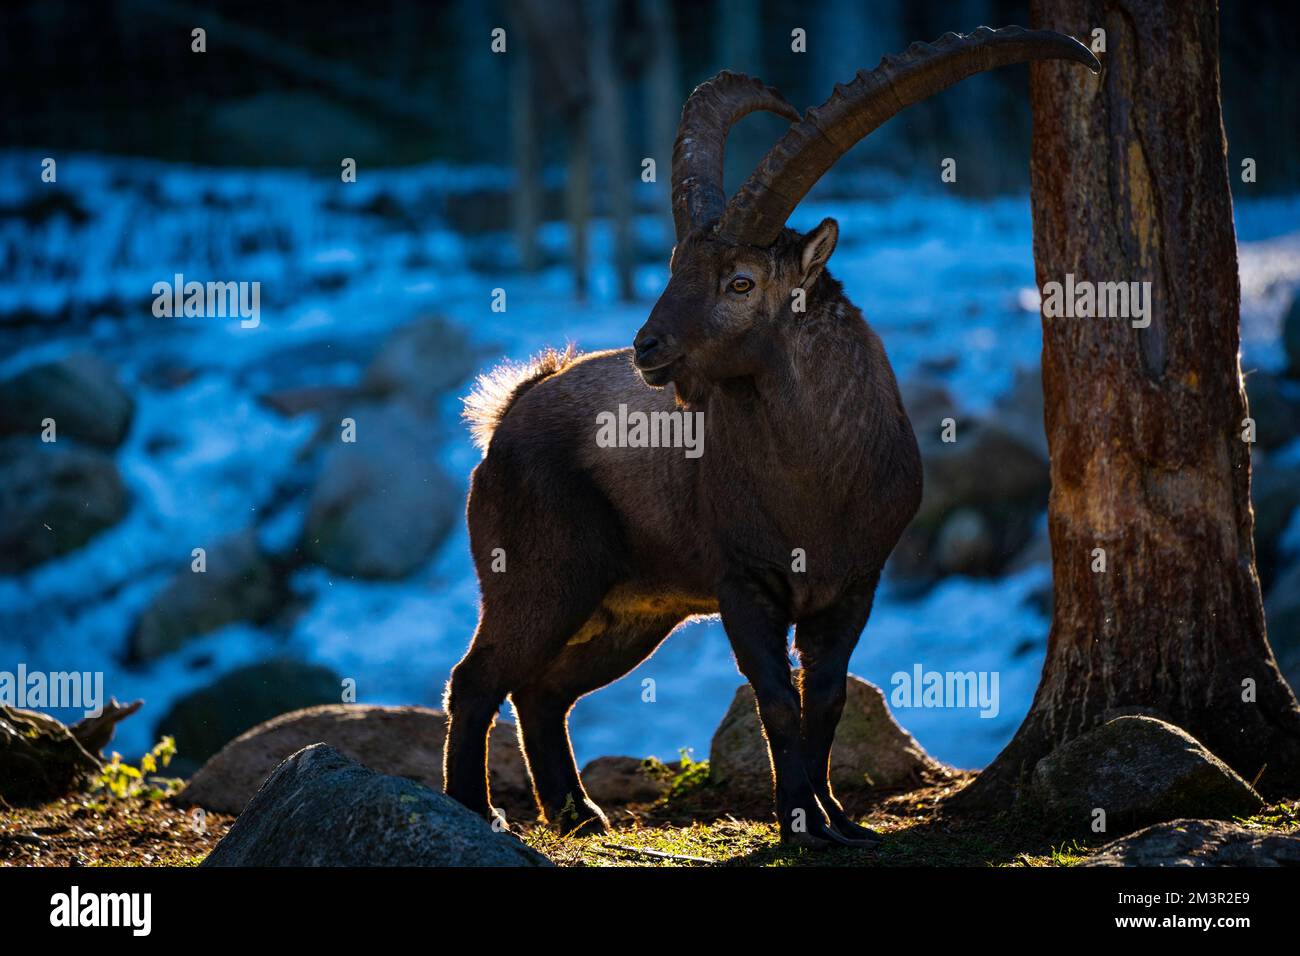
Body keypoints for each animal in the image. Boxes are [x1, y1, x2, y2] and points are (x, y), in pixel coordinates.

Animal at [445, 26, 1100, 846]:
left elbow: (825, 701)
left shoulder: (852, 586)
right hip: (539, 578)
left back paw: (578, 814)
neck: (813, 486)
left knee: (544, 689)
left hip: (633, 611)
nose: (648, 348)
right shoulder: (745, 587)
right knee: (477, 678)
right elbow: (777, 704)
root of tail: (510, 412)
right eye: (675, 265)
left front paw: (838, 821)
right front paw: (798, 825)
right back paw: (473, 812)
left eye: (741, 282)